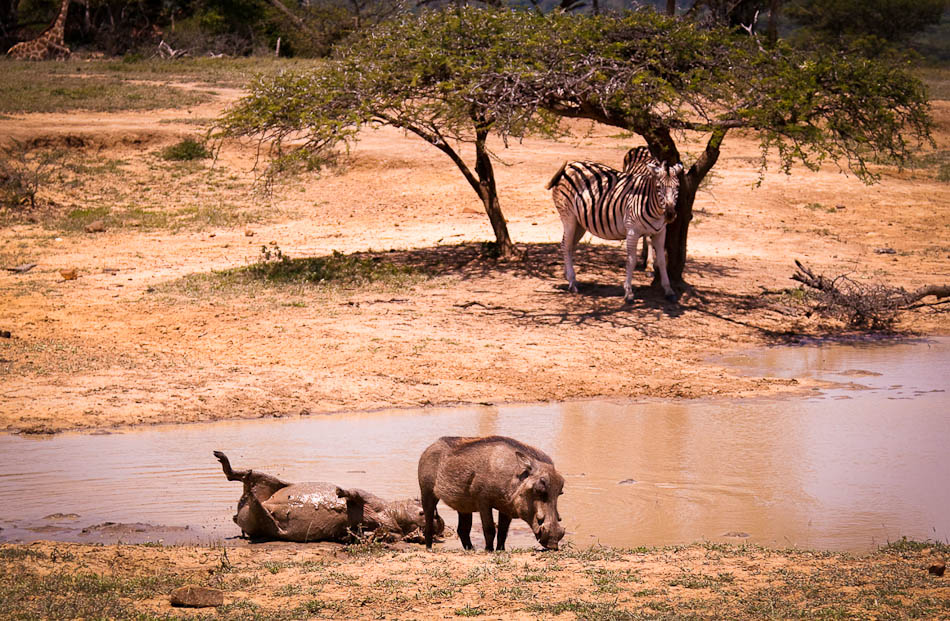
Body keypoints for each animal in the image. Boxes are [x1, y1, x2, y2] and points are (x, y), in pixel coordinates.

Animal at [548, 154, 688, 302]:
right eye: (659, 187)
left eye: (678, 186)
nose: (670, 214)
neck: (654, 207)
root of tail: (569, 165)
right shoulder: (632, 230)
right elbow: (631, 260)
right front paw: (628, 292)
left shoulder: (660, 232)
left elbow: (662, 261)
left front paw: (668, 290)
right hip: (569, 216)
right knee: (565, 245)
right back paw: (572, 282)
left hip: (580, 223)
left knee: (570, 246)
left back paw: (568, 276)